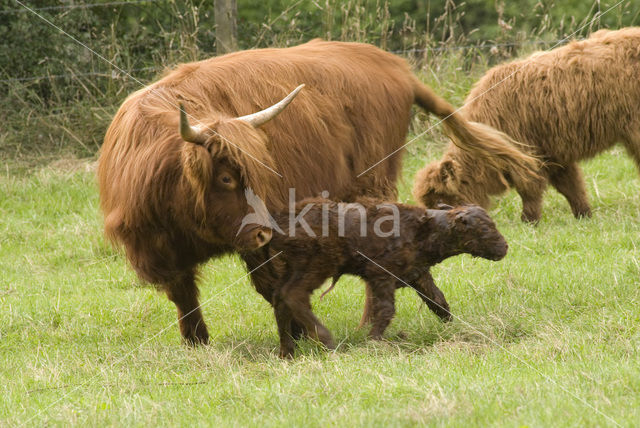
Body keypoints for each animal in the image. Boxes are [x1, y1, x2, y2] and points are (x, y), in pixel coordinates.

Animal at [242, 199, 508, 360]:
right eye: (485, 229)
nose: (505, 247)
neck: (427, 230)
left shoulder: (418, 273)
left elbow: (438, 301)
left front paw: (451, 326)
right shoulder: (381, 274)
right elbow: (386, 309)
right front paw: (374, 341)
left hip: (294, 267)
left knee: (280, 299)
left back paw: (287, 351)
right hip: (317, 264)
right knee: (292, 296)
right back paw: (326, 340)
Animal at [412, 27, 640, 222]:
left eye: (440, 200)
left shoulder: (526, 152)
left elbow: (530, 187)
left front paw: (529, 220)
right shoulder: (553, 153)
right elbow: (571, 185)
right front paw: (584, 215)